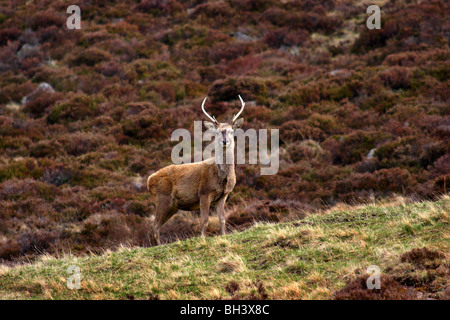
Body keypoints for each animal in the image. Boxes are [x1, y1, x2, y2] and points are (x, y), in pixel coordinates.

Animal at [147, 95, 246, 245]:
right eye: (217, 132)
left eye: (231, 131)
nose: (224, 141)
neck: (221, 177)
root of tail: (148, 180)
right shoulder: (204, 192)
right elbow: (204, 220)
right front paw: (202, 238)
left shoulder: (223, 195)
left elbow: (222, 218)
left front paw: (223, 235)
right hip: (162, 198)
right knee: (155, 225)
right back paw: (159, 245)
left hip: (172, 206)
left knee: (157, 225)